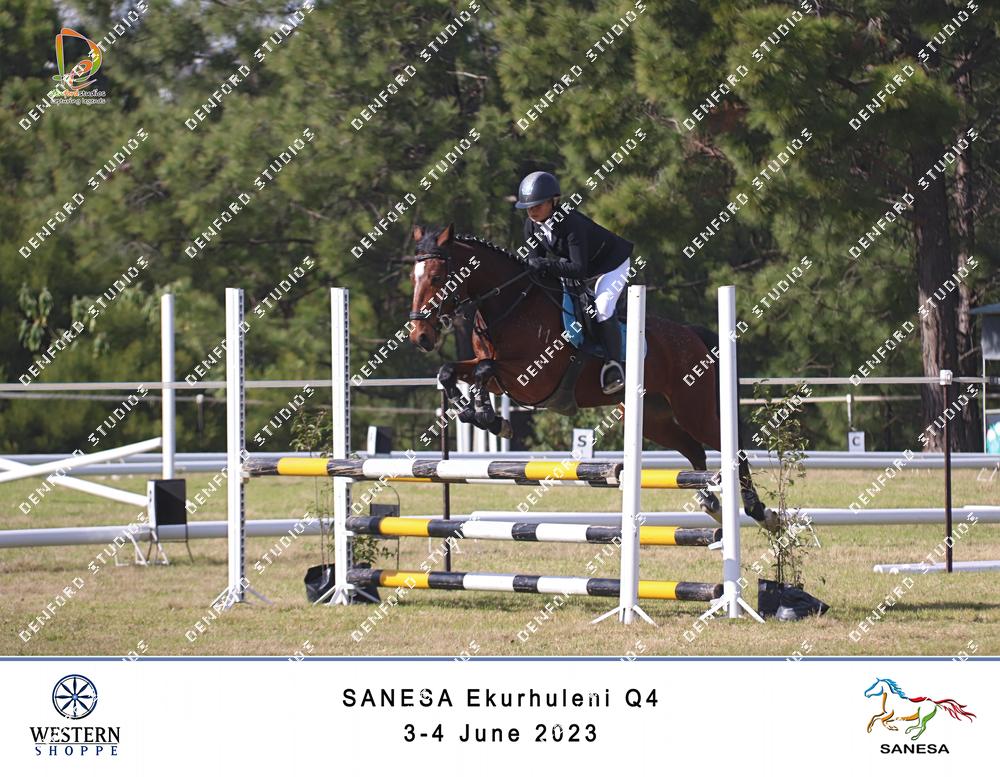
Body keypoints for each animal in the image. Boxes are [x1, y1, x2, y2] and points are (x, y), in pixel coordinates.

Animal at [404, 223, 773, 528]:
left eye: (437, 278)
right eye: (413, 278)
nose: (420, 337)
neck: (511, 304)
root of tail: (692, 335)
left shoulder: (532, 377)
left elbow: (484, 369)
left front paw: (488, 416)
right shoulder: (498, 373)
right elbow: (452, 371)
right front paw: (482, 415)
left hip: (693, 408)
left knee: (731, 449)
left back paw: (758, 511)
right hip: (654, 419)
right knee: (695, 451)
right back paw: (711, 504)